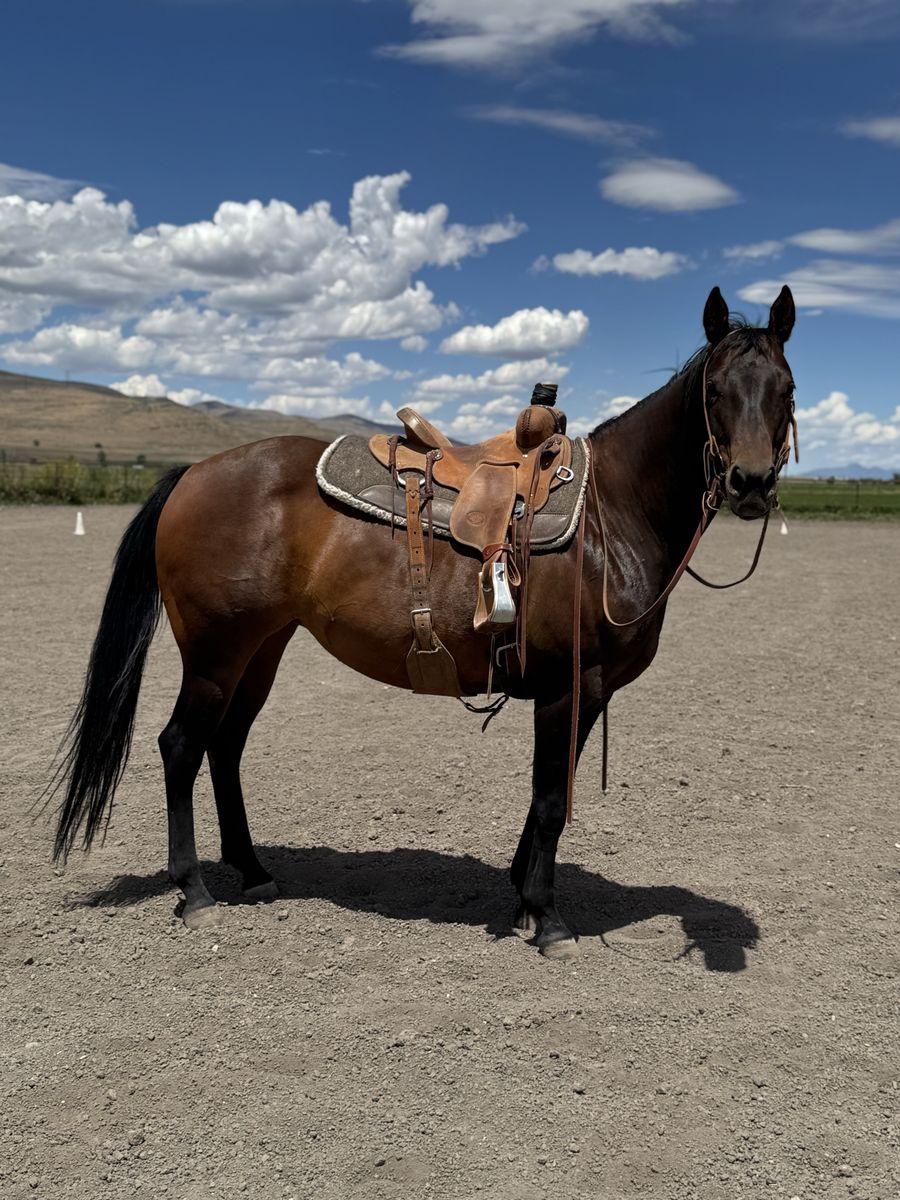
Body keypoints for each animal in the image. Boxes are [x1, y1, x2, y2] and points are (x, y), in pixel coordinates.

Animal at [51, 285, 797, 959]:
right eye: (715, 390)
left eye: (786, 387)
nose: (751, 483)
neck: (610, 516)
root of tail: (193, 474)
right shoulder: (568, 686)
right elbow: (552, 799)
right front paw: (549, 919)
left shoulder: (583, 692)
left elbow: (547, 797)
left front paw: (522, 896)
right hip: (214, 654)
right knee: (181, 746)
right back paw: (194, 891)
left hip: (262, 648)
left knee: (224, 746)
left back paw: (255, 872)